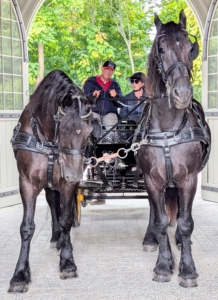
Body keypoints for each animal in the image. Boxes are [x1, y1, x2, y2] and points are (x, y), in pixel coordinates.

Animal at [8, 69, 97, 292]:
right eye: (63, 128)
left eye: (90, 130)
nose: (74, 174)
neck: (47, 138)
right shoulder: (27, 183)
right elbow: (27, 227)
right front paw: (20, 274)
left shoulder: (67, 184)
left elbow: (66, 219)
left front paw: (67, 262)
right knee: (51, 200)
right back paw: (57, 237)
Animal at [138, 11, 211, 288]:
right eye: (161, 49)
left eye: (190, 48)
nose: (182, 94)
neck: (169, 127)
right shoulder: (152, 179)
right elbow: (160, 221)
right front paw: (163, 264)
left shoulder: (189, 179)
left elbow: (186, 222)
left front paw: (187, 269)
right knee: (154, 211)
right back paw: (152, 240)